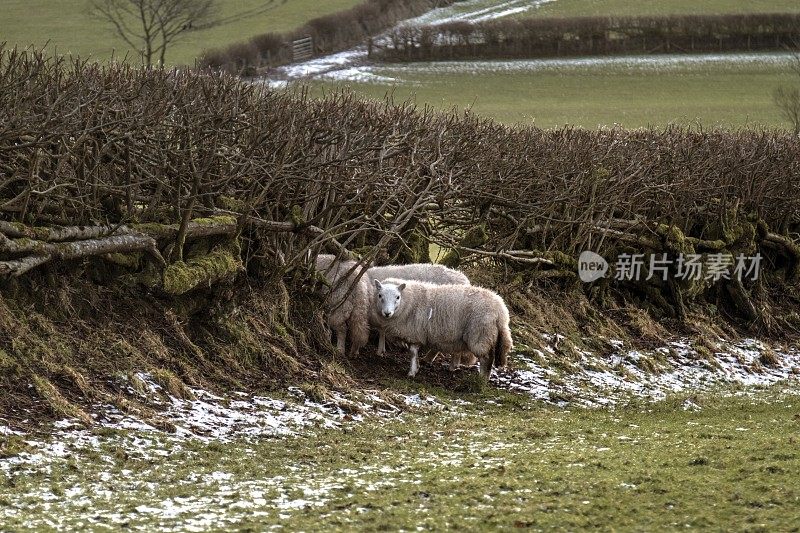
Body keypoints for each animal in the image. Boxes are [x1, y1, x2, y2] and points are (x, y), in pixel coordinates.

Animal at [370, 278, 510, 378]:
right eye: (380, 296)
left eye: (397, 297)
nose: (387, 313)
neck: (408, 302)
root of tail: (501, 310)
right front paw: (417, 367)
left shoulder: (415, 333)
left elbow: (413, 352)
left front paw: (412, 371)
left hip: (480, 334)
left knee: (486, 358)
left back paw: (482, 380)